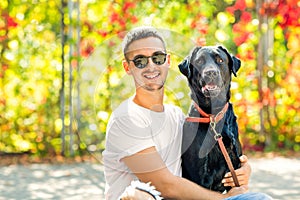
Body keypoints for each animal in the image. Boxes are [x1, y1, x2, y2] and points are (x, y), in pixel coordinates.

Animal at [179, 45, 243, 192]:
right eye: (199, 61)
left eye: (220, 60)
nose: (211, 73)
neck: (214, 116)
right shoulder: (199, 177)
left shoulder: (234, 170)